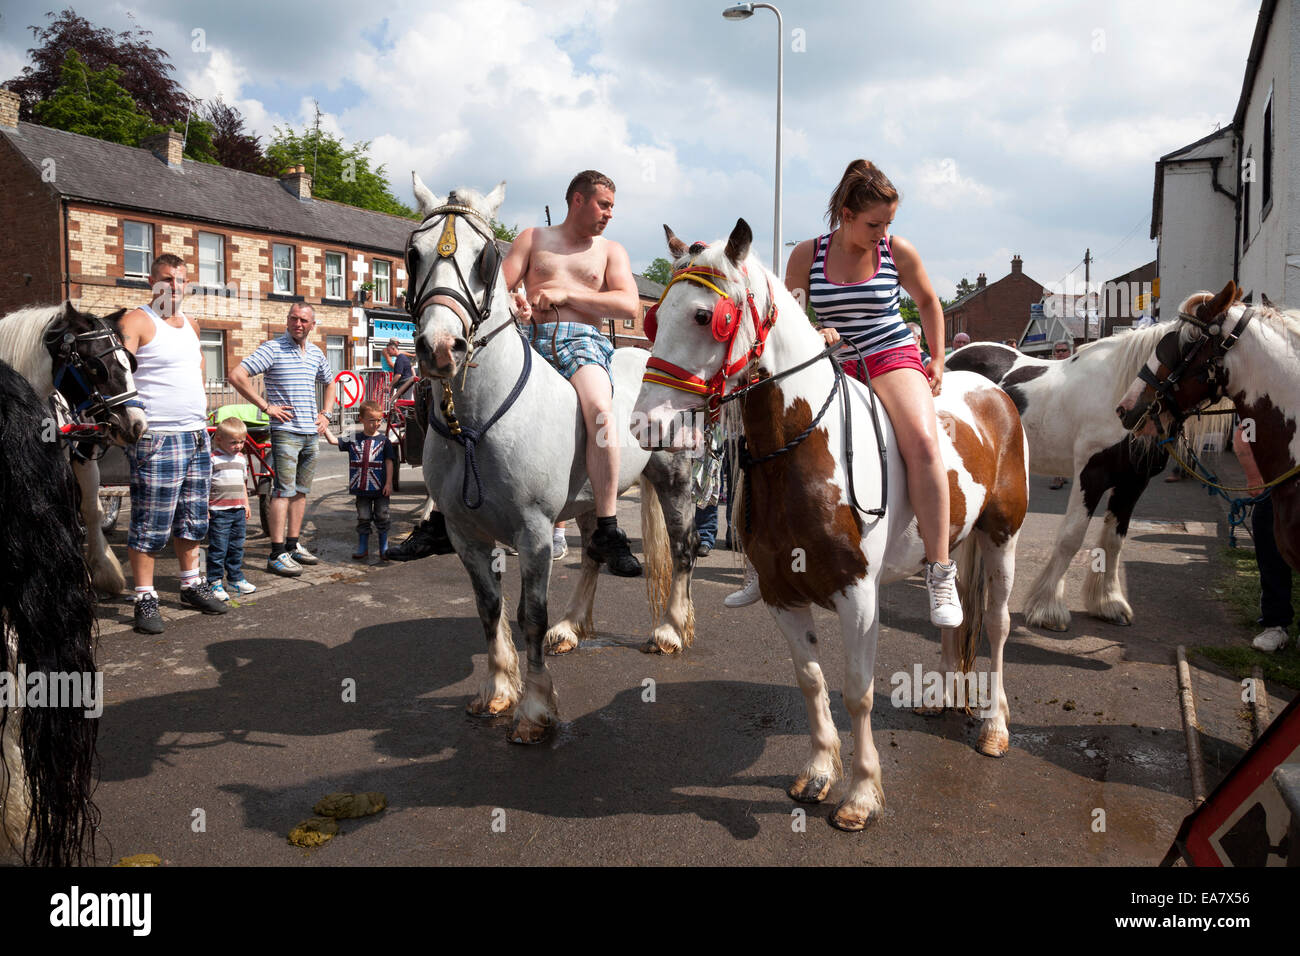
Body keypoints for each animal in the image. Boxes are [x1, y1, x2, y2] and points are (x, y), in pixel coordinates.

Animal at [408, 180, 702, 749]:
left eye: (485, 258)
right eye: (413, 252)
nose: (439, 347)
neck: (477, 423)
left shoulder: (535, 531)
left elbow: (529, 616)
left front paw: (535, 710)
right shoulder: (464, 532)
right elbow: (489, 609)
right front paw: (497, 689)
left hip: (674, 479)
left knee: (681, 549)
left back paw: (669, 631)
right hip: (589, 501)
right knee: (592, 553)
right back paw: (572, 627)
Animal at [634, 218, 1029, 832]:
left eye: (705, 316)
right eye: (653, 318)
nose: (644, 424)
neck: (807, 449)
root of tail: (993, 391)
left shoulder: (858, 595)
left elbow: (857, 692)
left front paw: (862, 794)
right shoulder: (781, 594)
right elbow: (811, 680)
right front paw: (820, 771)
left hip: (1001, 538)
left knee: (996, 624)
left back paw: (994, 725)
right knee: (955, 618)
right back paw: (940, 692)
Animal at [946, 325, 1227, 632]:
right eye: (1168, 351)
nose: (1132, 410)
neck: (1120, 389)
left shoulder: (1133, 483)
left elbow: (1114, 542)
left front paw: (1109, 603)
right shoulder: (1091, 475)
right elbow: (1071, 537)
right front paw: (1048, 609)